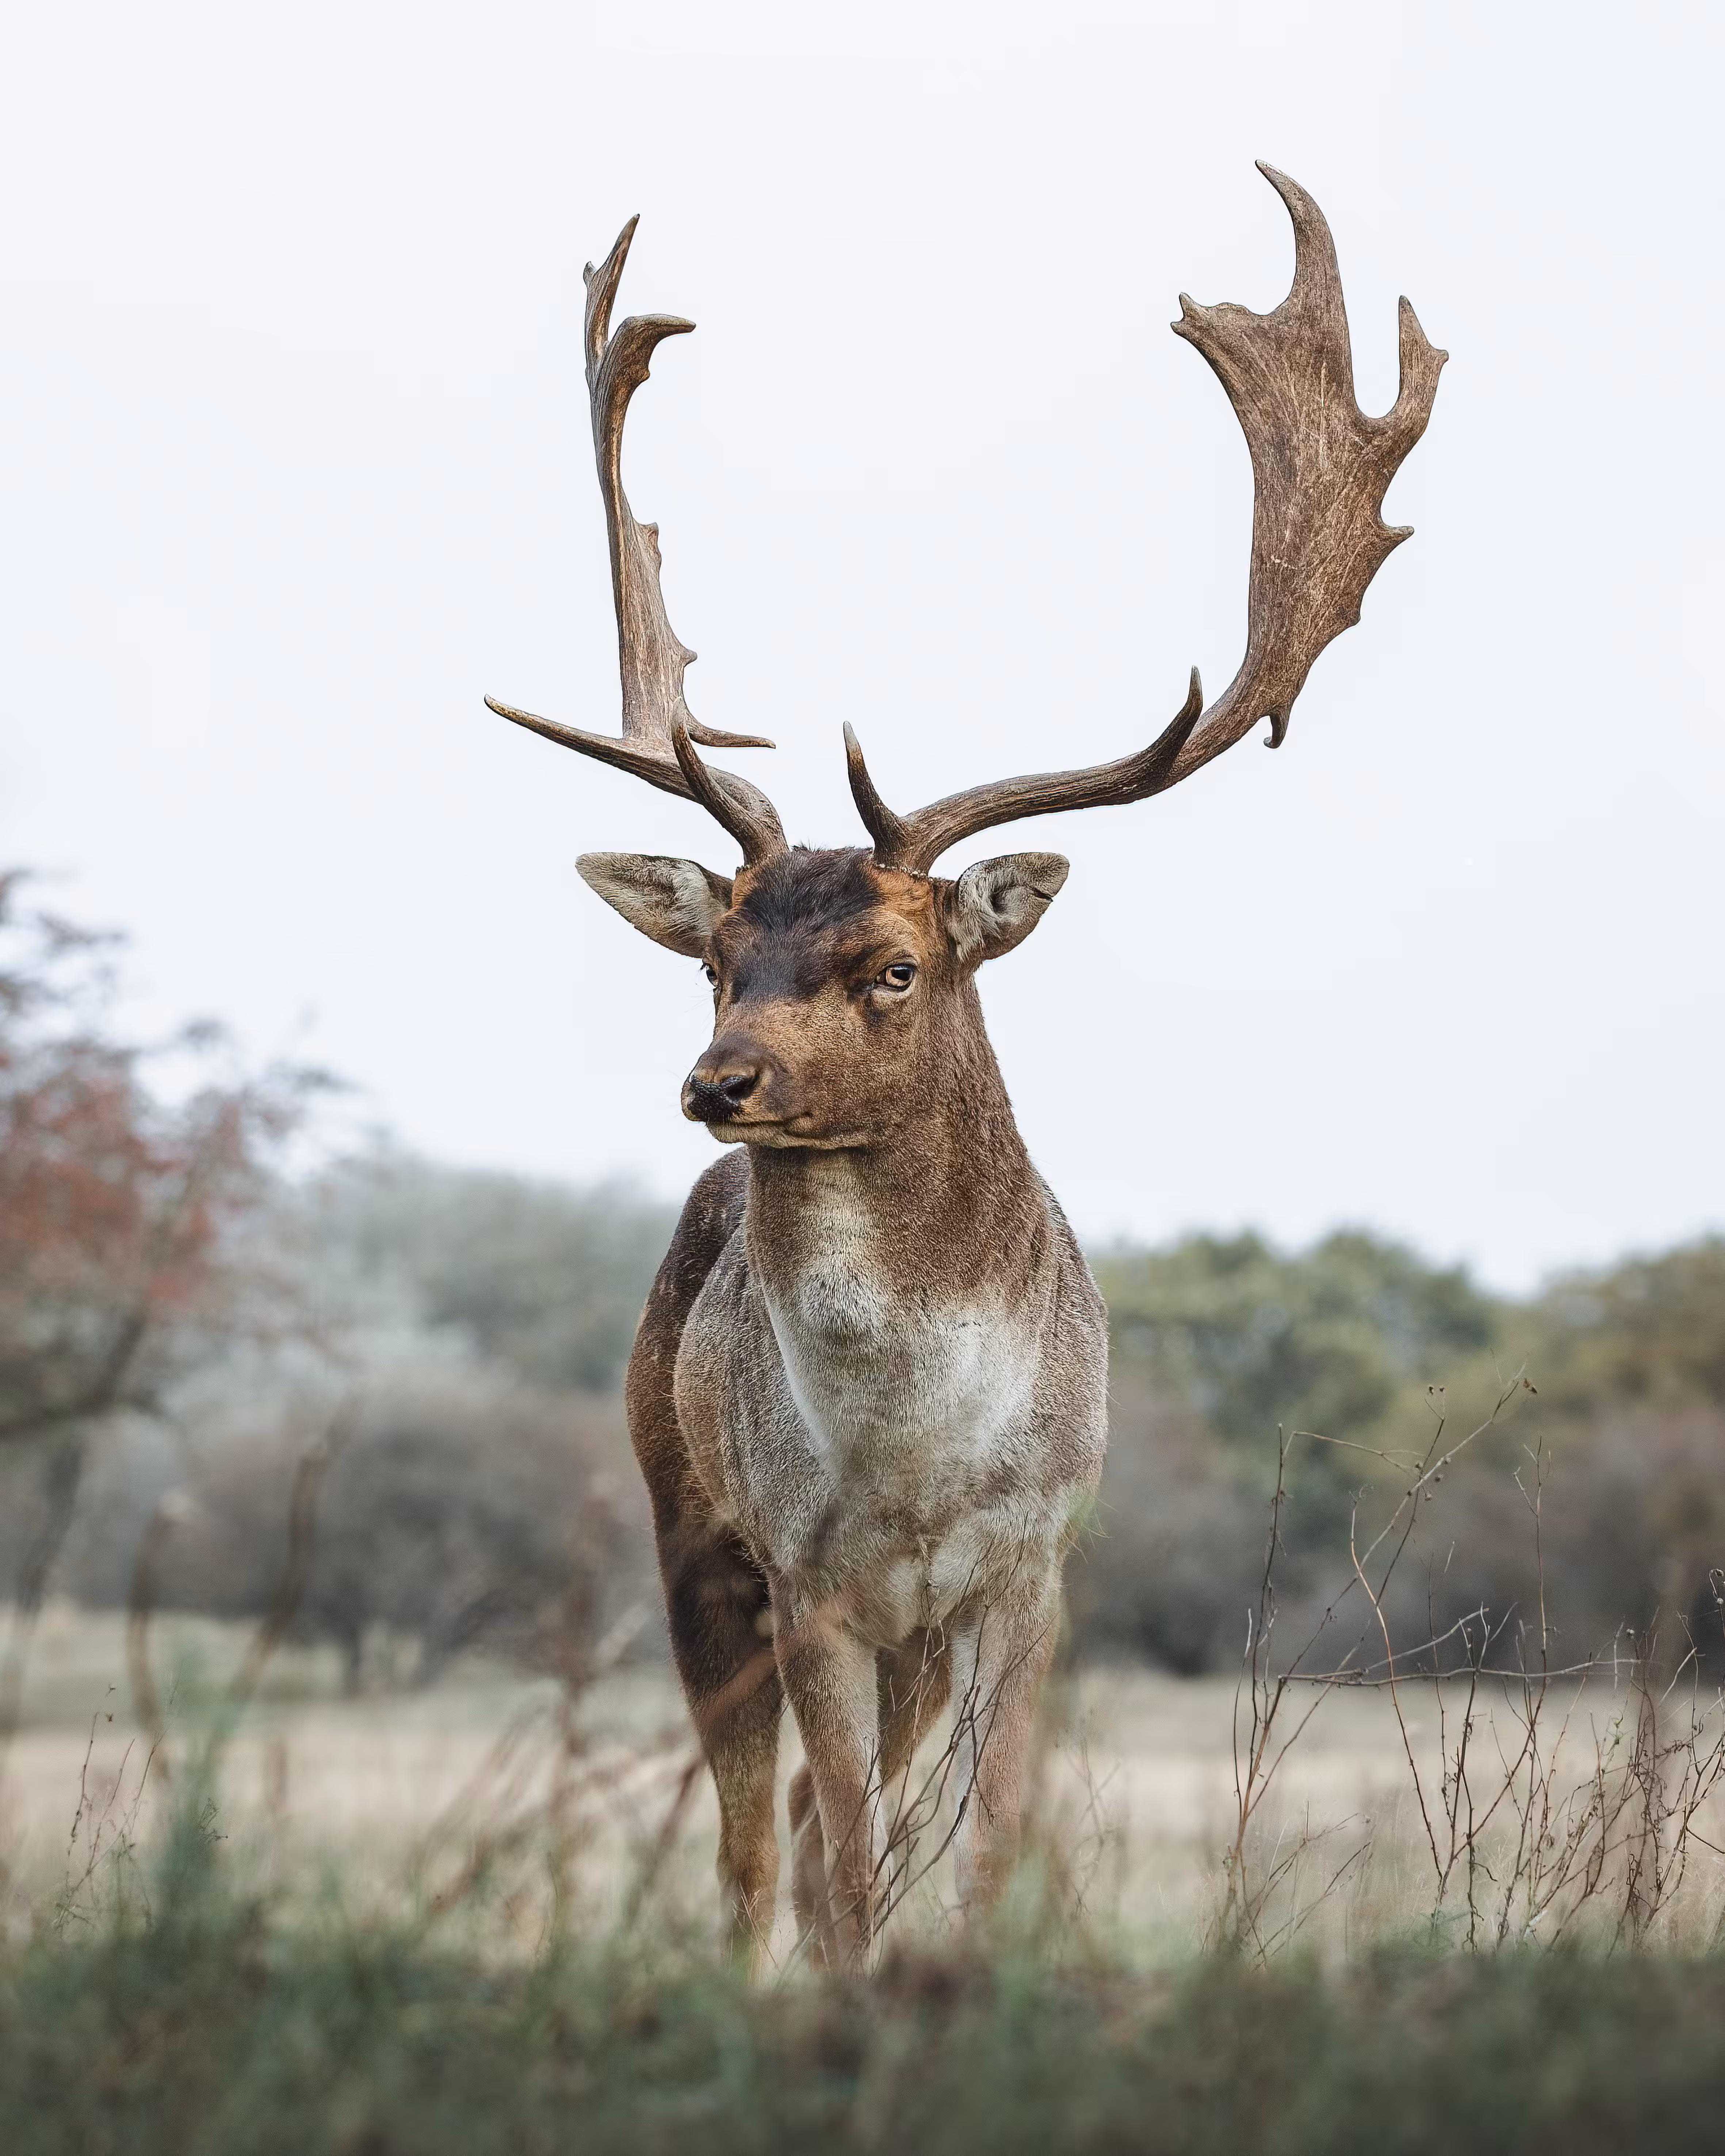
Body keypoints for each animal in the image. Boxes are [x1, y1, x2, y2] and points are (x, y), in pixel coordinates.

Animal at [486, 165, 1444, 1968]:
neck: (919, 1469)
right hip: (686, 1530)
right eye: (718, 954)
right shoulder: (807, 1577)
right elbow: (850, 1869)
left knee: (799, 1821)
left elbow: (981, 1851)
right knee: (757, 1844)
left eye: (894, 964)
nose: (718, 1081)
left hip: (907, 1636)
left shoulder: (1028, 1567)